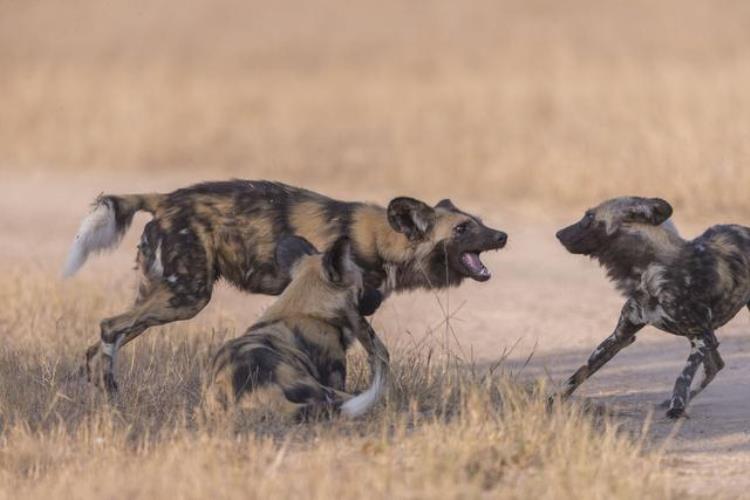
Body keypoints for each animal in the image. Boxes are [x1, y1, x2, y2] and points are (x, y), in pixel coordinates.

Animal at [64, 181, 508, 394]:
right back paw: (111, 396)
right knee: (109, 328)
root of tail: (165, 199)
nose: (503, 235)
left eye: (479, 222)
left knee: (101, 339)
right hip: (187, 297)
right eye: (463, 229)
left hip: (164, 295)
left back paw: (104, 399)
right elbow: (379, 356)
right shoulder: (350, 311)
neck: (384, 240)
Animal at [209, 234, 390, 418]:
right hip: (323, 390)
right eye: (363, 282)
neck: (309, 309)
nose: (379, 296)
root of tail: (264, 393)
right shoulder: (335, 376)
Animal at [556, 196, 750, 418]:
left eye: (589, 217)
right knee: (715, 365)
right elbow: (579, 374)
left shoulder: (702, 338)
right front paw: (550, 401)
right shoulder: (620, 336)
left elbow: (683, 376)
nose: (558, 234)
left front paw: (677, 408)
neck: (647, 272)